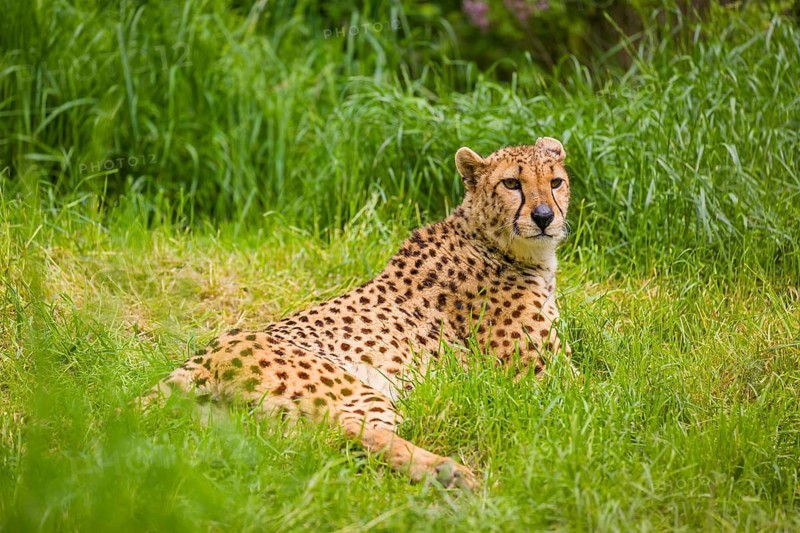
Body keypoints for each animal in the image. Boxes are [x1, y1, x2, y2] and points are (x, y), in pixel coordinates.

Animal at [142, 137, 572, 490]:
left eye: (555, 182)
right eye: (512, 184)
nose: (544, 217)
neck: (492, 239)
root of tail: (206, 353)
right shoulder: (544, 379)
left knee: (309, 447)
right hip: (350, 388)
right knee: (355, 433)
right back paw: (448, 472)